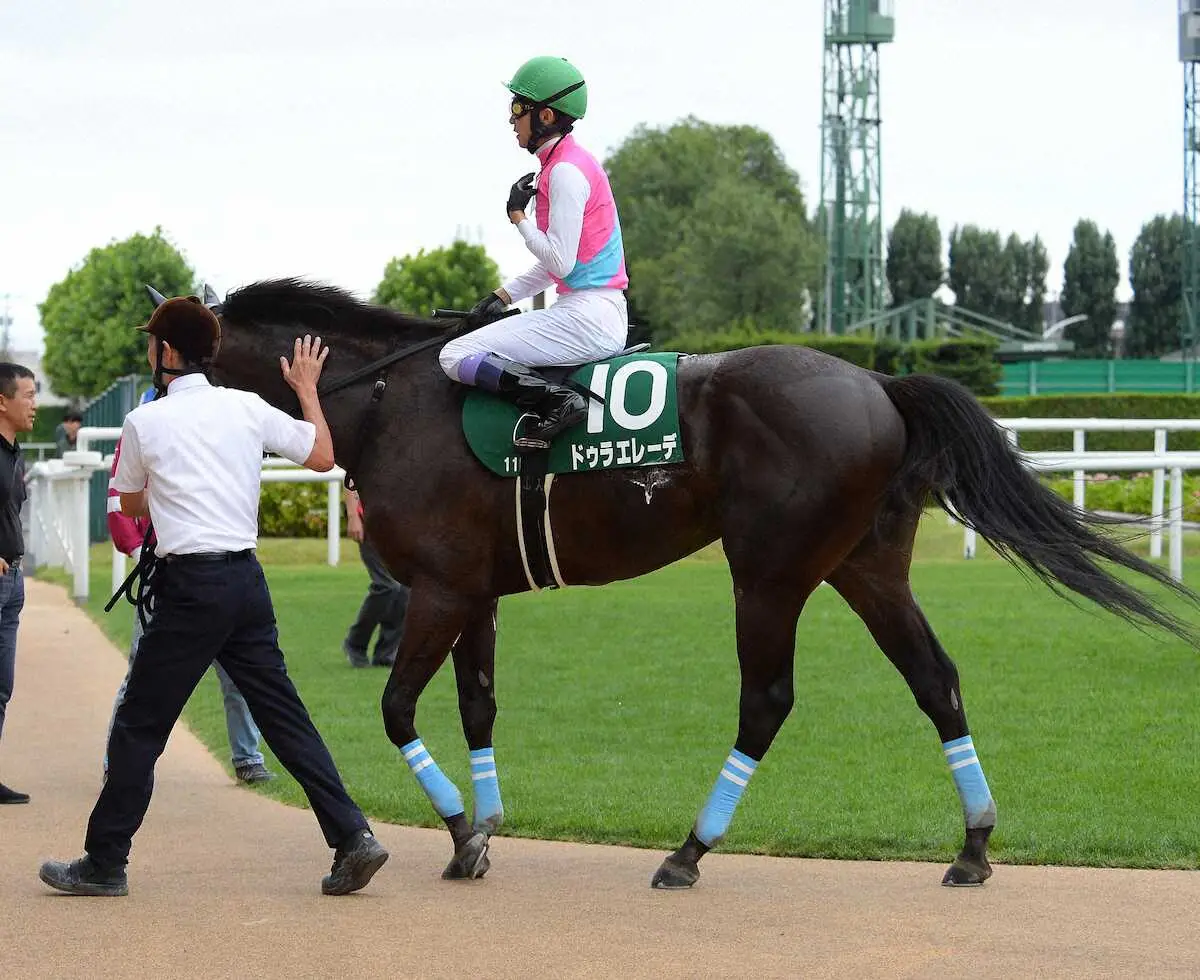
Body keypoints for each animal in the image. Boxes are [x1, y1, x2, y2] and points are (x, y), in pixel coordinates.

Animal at [211, 277, 1195, 887]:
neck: (392, 402)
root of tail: (879, 381)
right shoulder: (476, 592)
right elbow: (477, 707)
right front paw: (478, 835)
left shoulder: (440, 590)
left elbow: (397, 710)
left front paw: (458, 832)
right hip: (867, 567)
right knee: (936, 681)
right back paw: (974, 845)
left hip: (769, 572)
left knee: (766, 702)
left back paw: (689, 851)